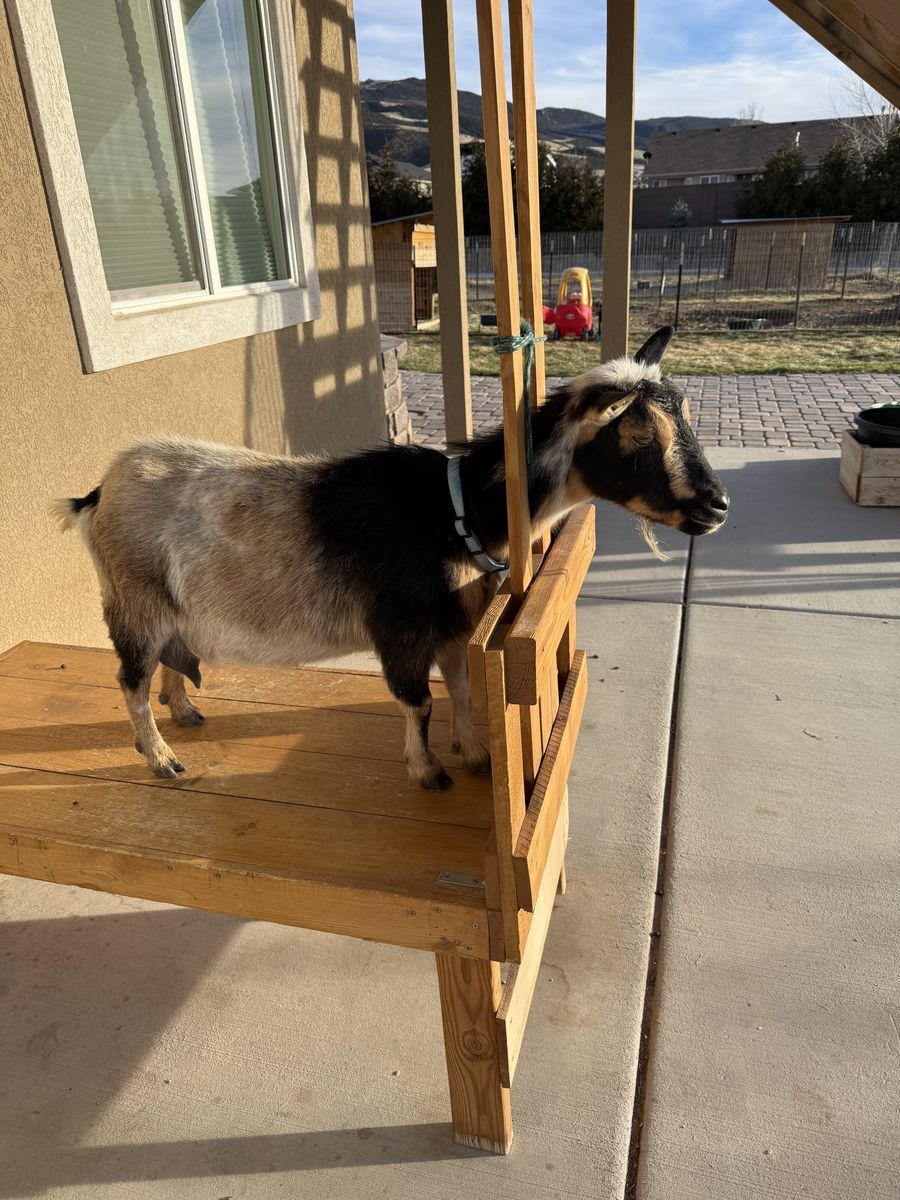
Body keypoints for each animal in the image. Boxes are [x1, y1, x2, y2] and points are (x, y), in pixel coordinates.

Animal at [56, 326, 728, 789]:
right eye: (637, 436)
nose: (718, 506)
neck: (456, 509)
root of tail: (98, 493)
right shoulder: (400, 627)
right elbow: (419, 699)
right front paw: (427, 772)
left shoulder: (453, 626)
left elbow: (461, 689)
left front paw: (476, 755)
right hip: (133, 603)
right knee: (131, 679)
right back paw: (162, 759)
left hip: (169, 607)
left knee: (168, 662)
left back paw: (186, 710)